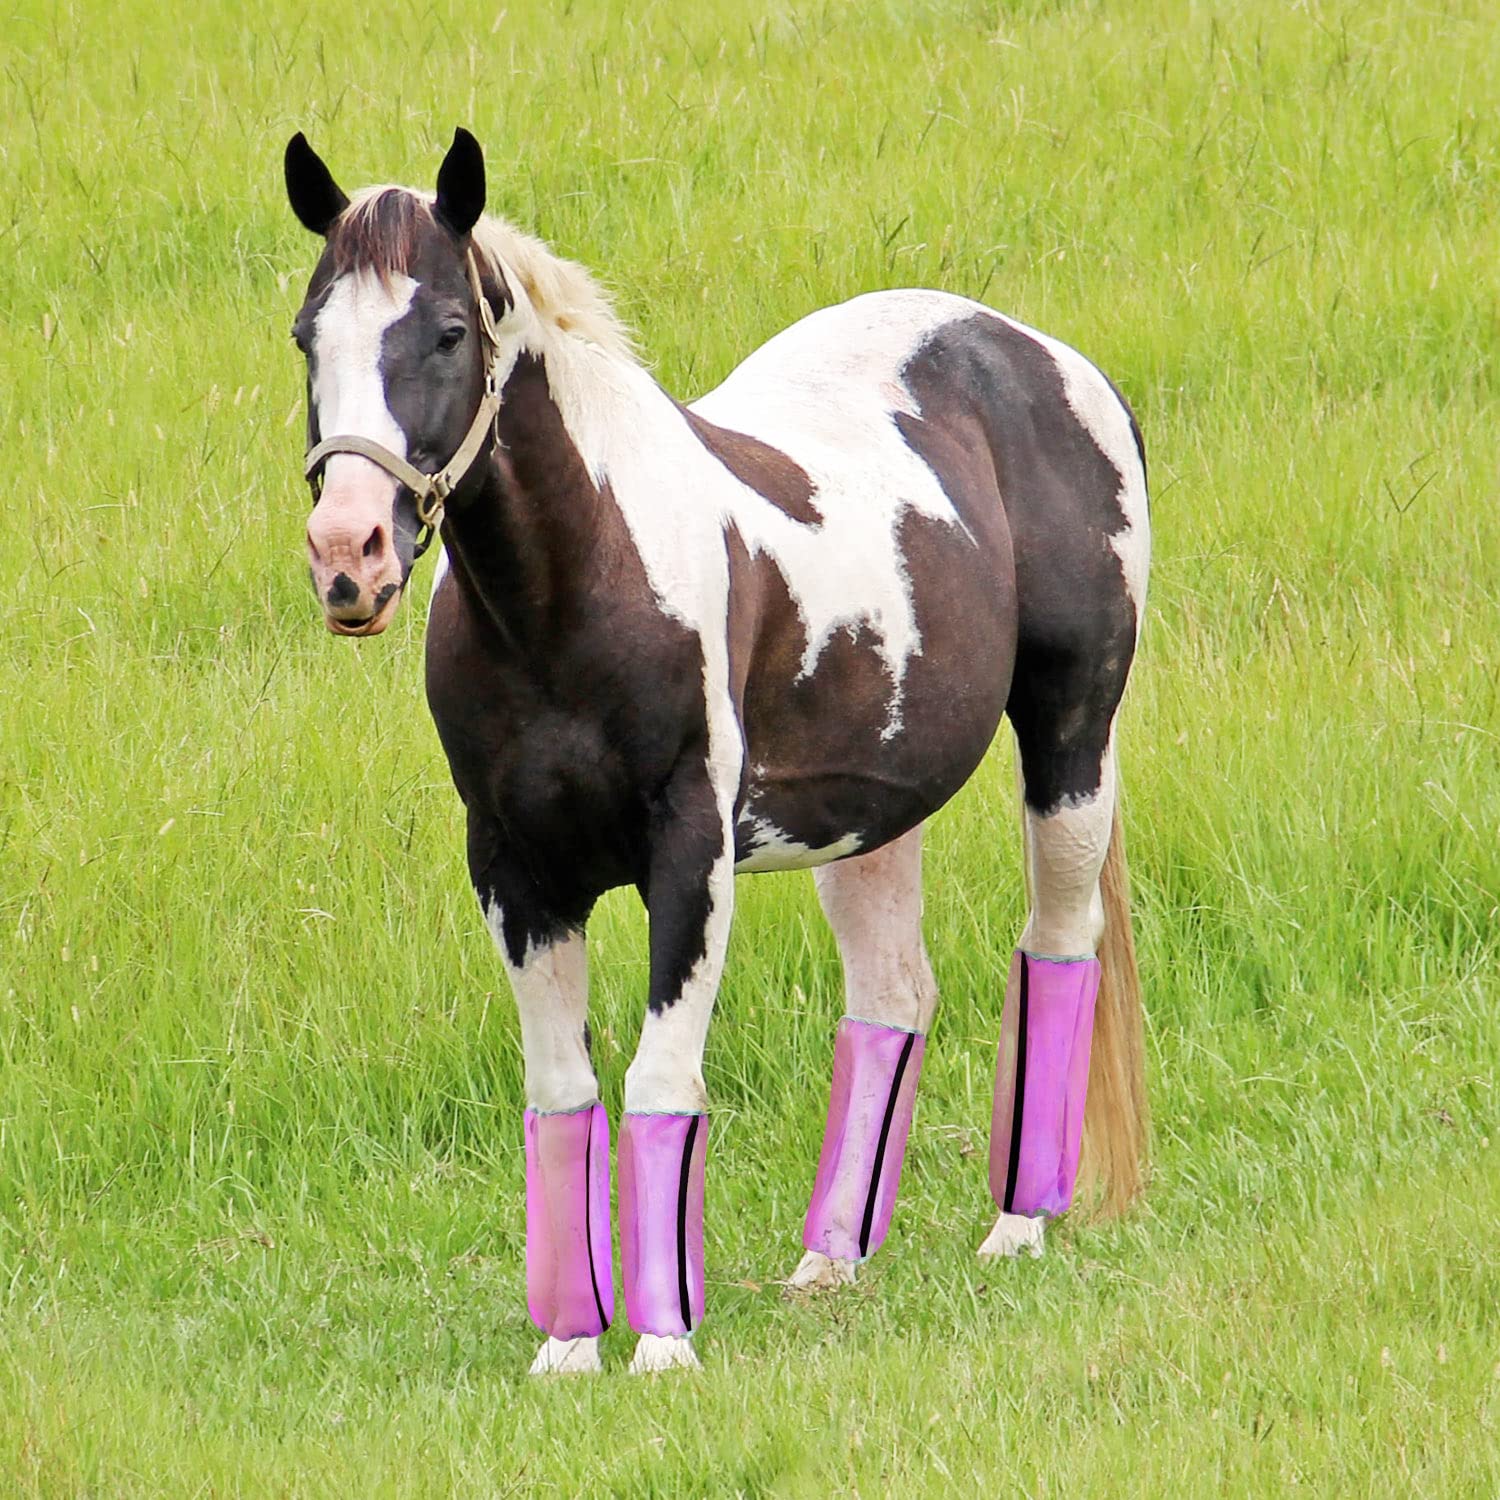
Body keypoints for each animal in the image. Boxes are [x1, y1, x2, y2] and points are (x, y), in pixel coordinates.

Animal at [284, 128, 1150, 1376]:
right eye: (310, 334)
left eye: (447, 330)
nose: (348, 556)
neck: (577, 593)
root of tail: (1046, 359)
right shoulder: (514, 873)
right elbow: (561, 1092)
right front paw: (567, 1349)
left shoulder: (688, 857)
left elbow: (660, 1078)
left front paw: (660, 1347)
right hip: (872, 810)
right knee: (893, 996)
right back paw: (829, 1262)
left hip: (1072, 742)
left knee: (1057, 944)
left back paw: (1017, 1228)